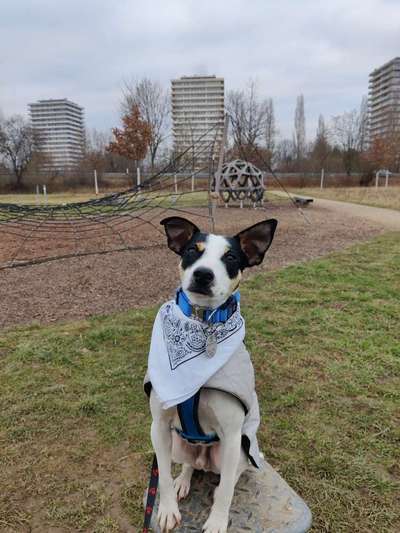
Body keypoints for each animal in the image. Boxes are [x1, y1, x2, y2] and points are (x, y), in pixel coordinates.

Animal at [145, 216, 278, 532]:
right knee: (188, 464)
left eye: (230, 258)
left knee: (233, 475)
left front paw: (217, 521)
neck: (202, 321)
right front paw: (167, 508)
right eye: (192, 251)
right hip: (178, 444)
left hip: (238, 450)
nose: (203, 275)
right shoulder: (158, 427)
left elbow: (228, 488)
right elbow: (163, 477)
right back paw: (184, 480)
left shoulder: (231, 437)